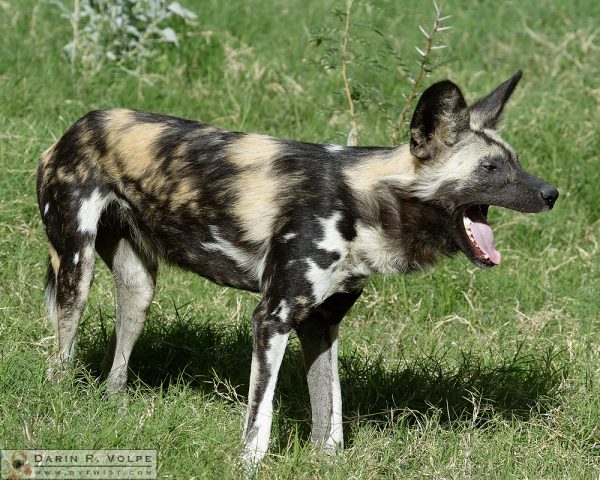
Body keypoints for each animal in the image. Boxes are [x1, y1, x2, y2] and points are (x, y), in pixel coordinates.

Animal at [37, 70, 556, 462]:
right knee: (60, 354)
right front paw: (249, 464)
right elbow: (260, 416)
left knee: (119, 360)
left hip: (140, 289)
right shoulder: (273, 318)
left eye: (517, 162)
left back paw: (115, 405)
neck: (365, 203)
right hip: (76, 268)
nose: (551, 193)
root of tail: (76, 127)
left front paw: (327, 462)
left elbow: (330, 411)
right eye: (490, 169)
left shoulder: (320, 324)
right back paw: (60, 404)